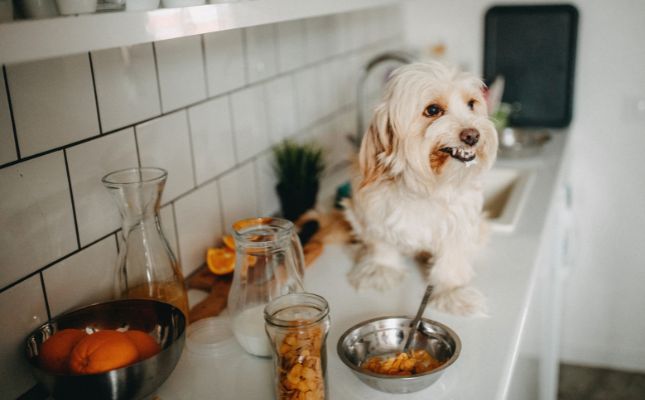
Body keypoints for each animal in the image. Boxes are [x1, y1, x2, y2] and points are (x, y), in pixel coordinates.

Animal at [342, 61, 498, 316]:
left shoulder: (460, 224)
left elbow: (452, 260)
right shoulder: (370, 211)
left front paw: (452, 291)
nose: (473, 135)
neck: (426, 189)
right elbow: (381, 243)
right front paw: (382, 269)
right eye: (433, 110)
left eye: (471, 104)